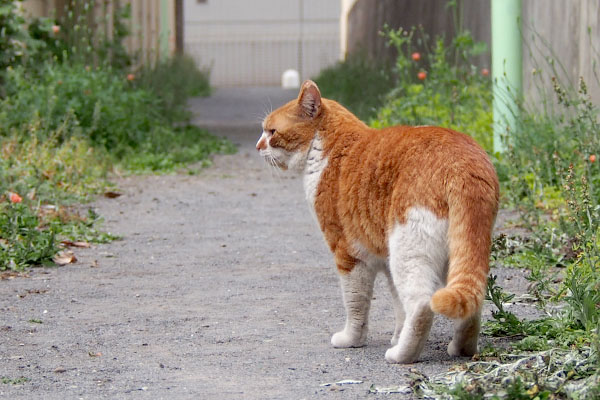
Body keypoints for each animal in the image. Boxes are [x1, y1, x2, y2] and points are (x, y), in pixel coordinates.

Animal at [255, 79, 500, 364]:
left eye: (271, 131)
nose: (258, 146)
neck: (328, 147)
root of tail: (464, 163)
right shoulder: (384, 258)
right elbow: (398, 307)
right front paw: (396, 334)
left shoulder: (349, 254)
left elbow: (356, 305)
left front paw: (352, 340)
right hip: (452, 254)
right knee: (473, 300)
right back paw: (461, 349)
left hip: (407, 250)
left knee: (421, 304)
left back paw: (401, 354)